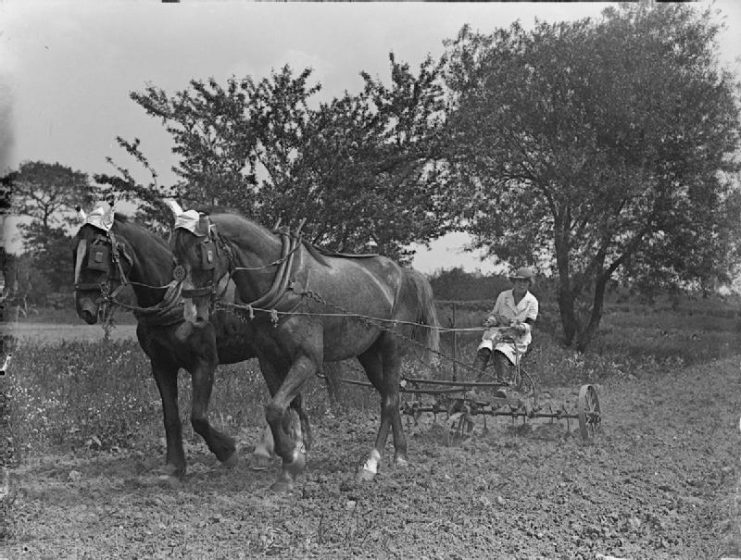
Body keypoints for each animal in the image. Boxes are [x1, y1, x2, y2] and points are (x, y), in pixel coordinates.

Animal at [71, 208, 310, 480]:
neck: (172, 299)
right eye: (74, 252)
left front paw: (227, 451)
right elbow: (171, 417)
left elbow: (198, 417)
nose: (84, 308)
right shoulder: (161, 364)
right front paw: (174, 466)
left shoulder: (205, 361)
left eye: (97, 256)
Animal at [168, 203, 440, 492]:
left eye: (202, 254)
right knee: (391, 395)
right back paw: (400, 454)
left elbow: (275, 409)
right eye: (175, 258)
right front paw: (295, 453)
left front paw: (291, 462)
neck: (286, 283)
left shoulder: (308, 359)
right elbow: (288, 407)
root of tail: (403, 273)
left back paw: (371, 463)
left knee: (389, 401)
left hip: (391, 346)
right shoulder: (269, 359)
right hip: (368, 353)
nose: (192, 314)